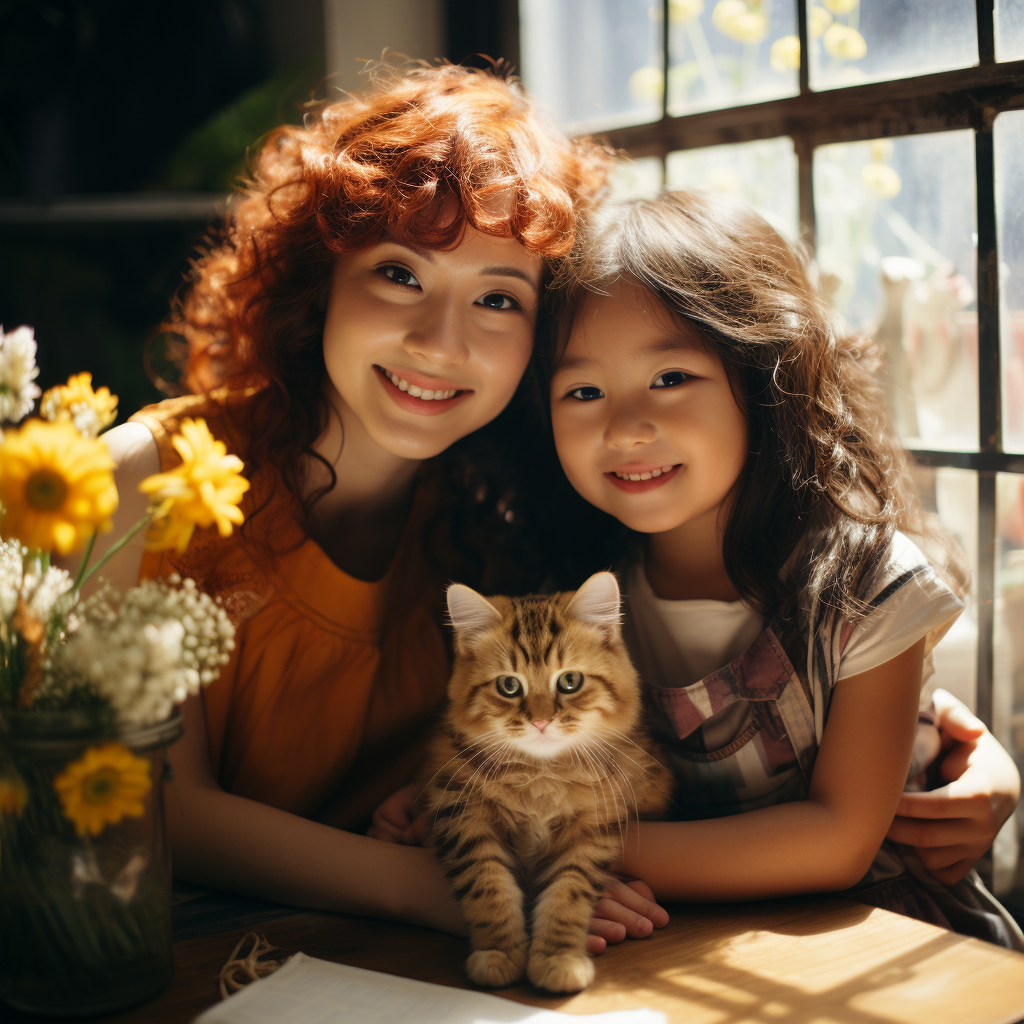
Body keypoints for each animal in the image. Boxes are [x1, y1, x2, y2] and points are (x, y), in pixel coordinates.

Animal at [419, 569, 667, 991]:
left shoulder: (592, 832)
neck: (541, 773)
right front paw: (499, 953)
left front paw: (559, 959)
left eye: (570, 682)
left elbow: (567, 897)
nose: (540, 721)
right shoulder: (463, 816)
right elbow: (489, 888)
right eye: (509, 686)